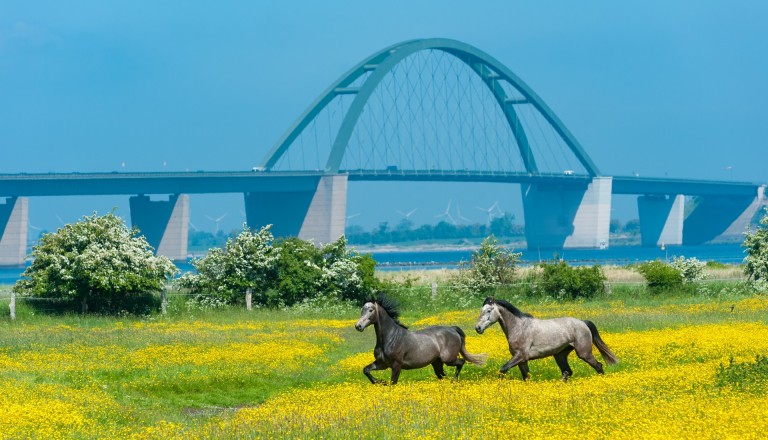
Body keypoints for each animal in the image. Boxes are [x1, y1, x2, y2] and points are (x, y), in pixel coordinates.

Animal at [356, 296, 486, 384]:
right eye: (362, 310)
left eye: (371, 310)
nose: (358, 326)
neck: (390, 338)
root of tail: (452, 329)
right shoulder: (382, 363)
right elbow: (366, 370)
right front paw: (379, 382)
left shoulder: (396, 365)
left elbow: (393, 383)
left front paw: (382, 383)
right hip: (437, 363)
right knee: (443, 375)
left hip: (448, 359)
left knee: (461, 362)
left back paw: (454, 380)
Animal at [474, 298, 616, 380]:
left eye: (489, 310)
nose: (478, 328)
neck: (519, 327)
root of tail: (583, 323)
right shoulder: (521, 360)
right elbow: (526, 377)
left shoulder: (521, 356)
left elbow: (503, 369)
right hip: (560, 355)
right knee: (567, 372)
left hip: (584, 353)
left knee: (598, 366)